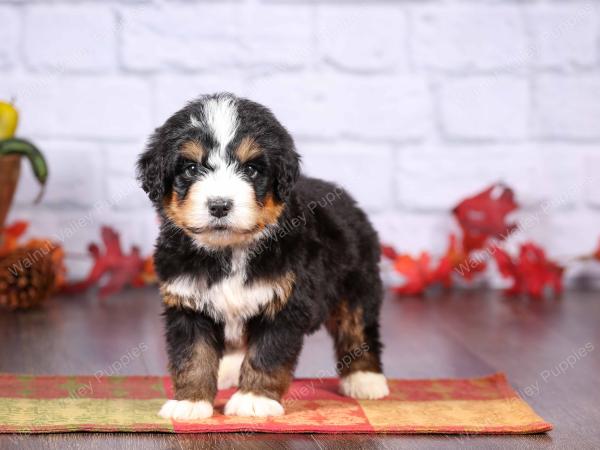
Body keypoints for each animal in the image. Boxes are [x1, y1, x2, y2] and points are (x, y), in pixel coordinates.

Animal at [137, 93, 390, 420]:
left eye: (251, 170)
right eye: (191, 169)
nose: (220, 205)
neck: (230, 250)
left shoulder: (285, 303)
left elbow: (267, 353)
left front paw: (254, 398)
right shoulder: (187, 302)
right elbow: (193, 355)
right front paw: (190, 402)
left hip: (358, 283)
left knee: (358, 328)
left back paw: (365, 378)